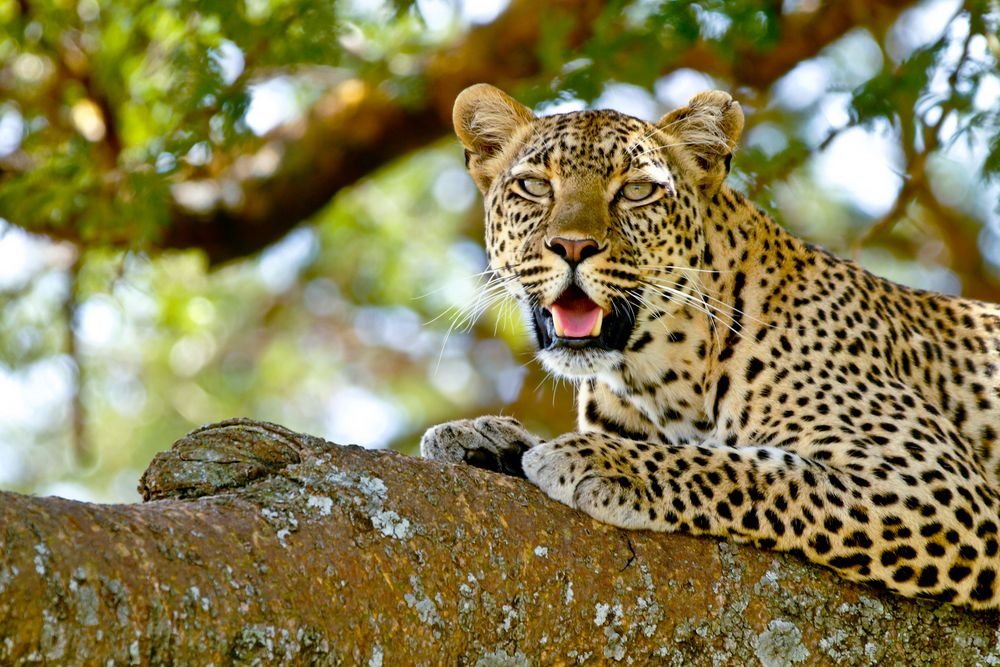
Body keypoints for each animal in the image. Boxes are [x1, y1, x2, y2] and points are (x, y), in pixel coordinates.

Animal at [418, 83, 1000, 612]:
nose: (573, 246)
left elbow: (752, 467)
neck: (655, 376)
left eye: (636, 191)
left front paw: (599, 459)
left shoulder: (934, 489)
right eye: (535, 186)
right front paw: (484, 439)